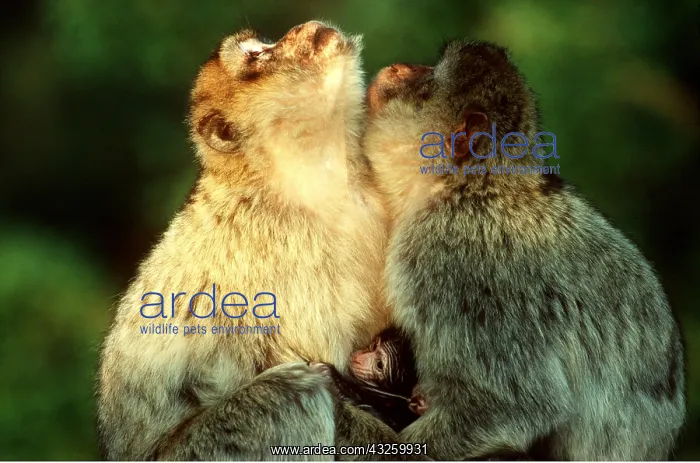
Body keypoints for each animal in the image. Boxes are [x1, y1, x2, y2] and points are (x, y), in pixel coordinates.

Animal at [97, 21, 401, 461]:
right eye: (258, 56)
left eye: (263, 44)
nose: (302, 29)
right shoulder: (292, 258)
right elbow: (327, 378)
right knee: (293, 393)